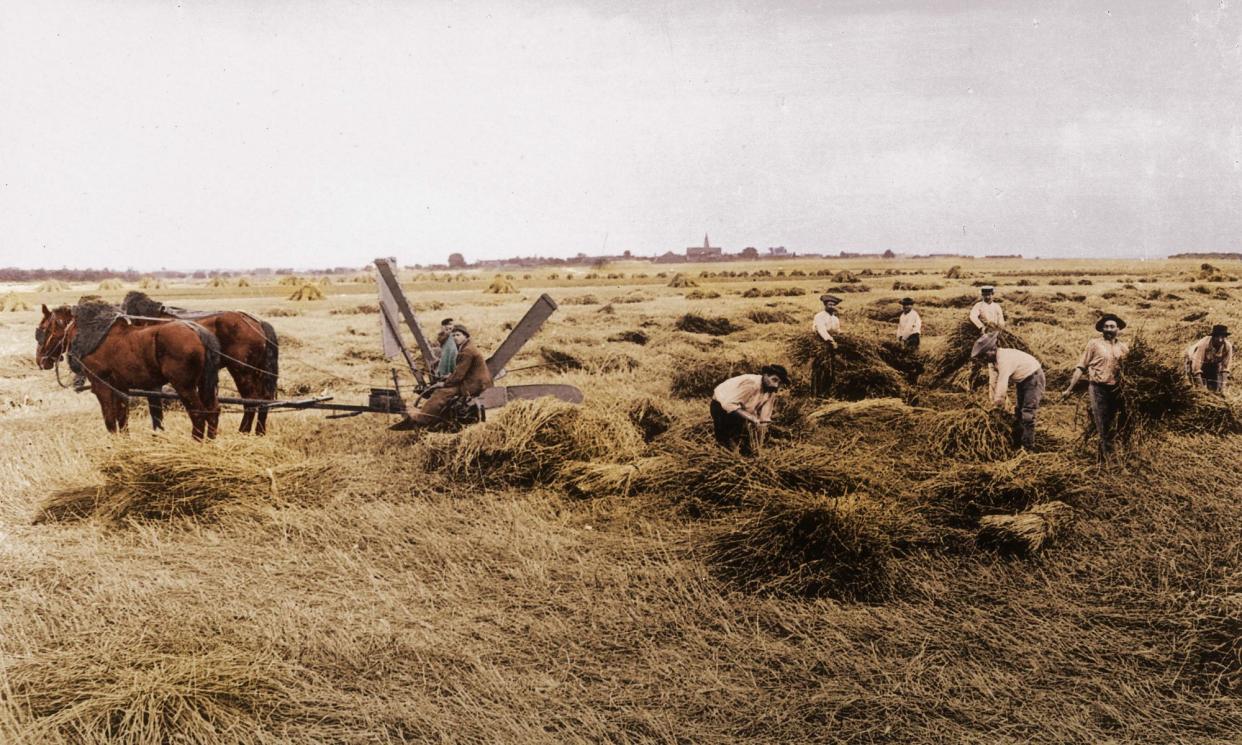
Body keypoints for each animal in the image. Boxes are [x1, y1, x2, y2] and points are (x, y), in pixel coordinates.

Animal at [38, 302, 223, 439]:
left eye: (43, 329)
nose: (40, 360)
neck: (93, 337)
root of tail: (198, 332)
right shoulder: (120, 388)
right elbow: (122, 419)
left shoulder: (101, 386)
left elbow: (110, 420)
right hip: (204, 384)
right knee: (213, 411)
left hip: (184, 386)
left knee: (198, 414)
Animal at [122, 289, 280, 434]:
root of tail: (257, 322)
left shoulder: (152, 383)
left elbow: (155, 409)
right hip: (257, 370)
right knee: (264, 398)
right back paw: (259, 431)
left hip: (241, 370)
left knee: (250, 399)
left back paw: (243, 431)